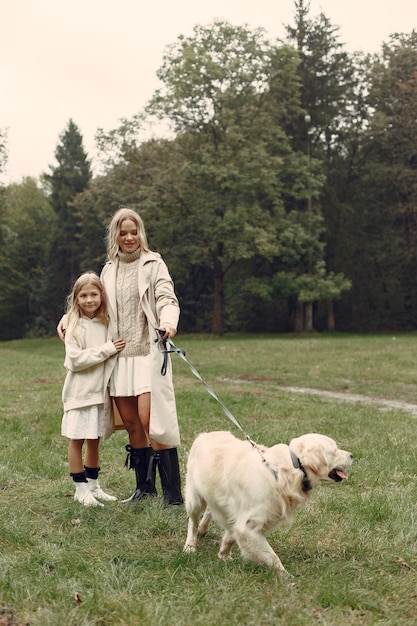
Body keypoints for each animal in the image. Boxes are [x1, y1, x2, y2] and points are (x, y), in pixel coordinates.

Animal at [182, 428, 352, 572]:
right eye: (334, 450)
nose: (352, 455)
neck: (288, 472)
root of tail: (204, 434)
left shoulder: (241, 518)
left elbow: (230, 535)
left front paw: (224, 555)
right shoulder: (249, 525)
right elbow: (272, 557)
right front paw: (286, 578)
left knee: (210, 511)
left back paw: (203, 529)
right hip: (194, 498)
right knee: (193, 521)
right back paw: (190, 545)